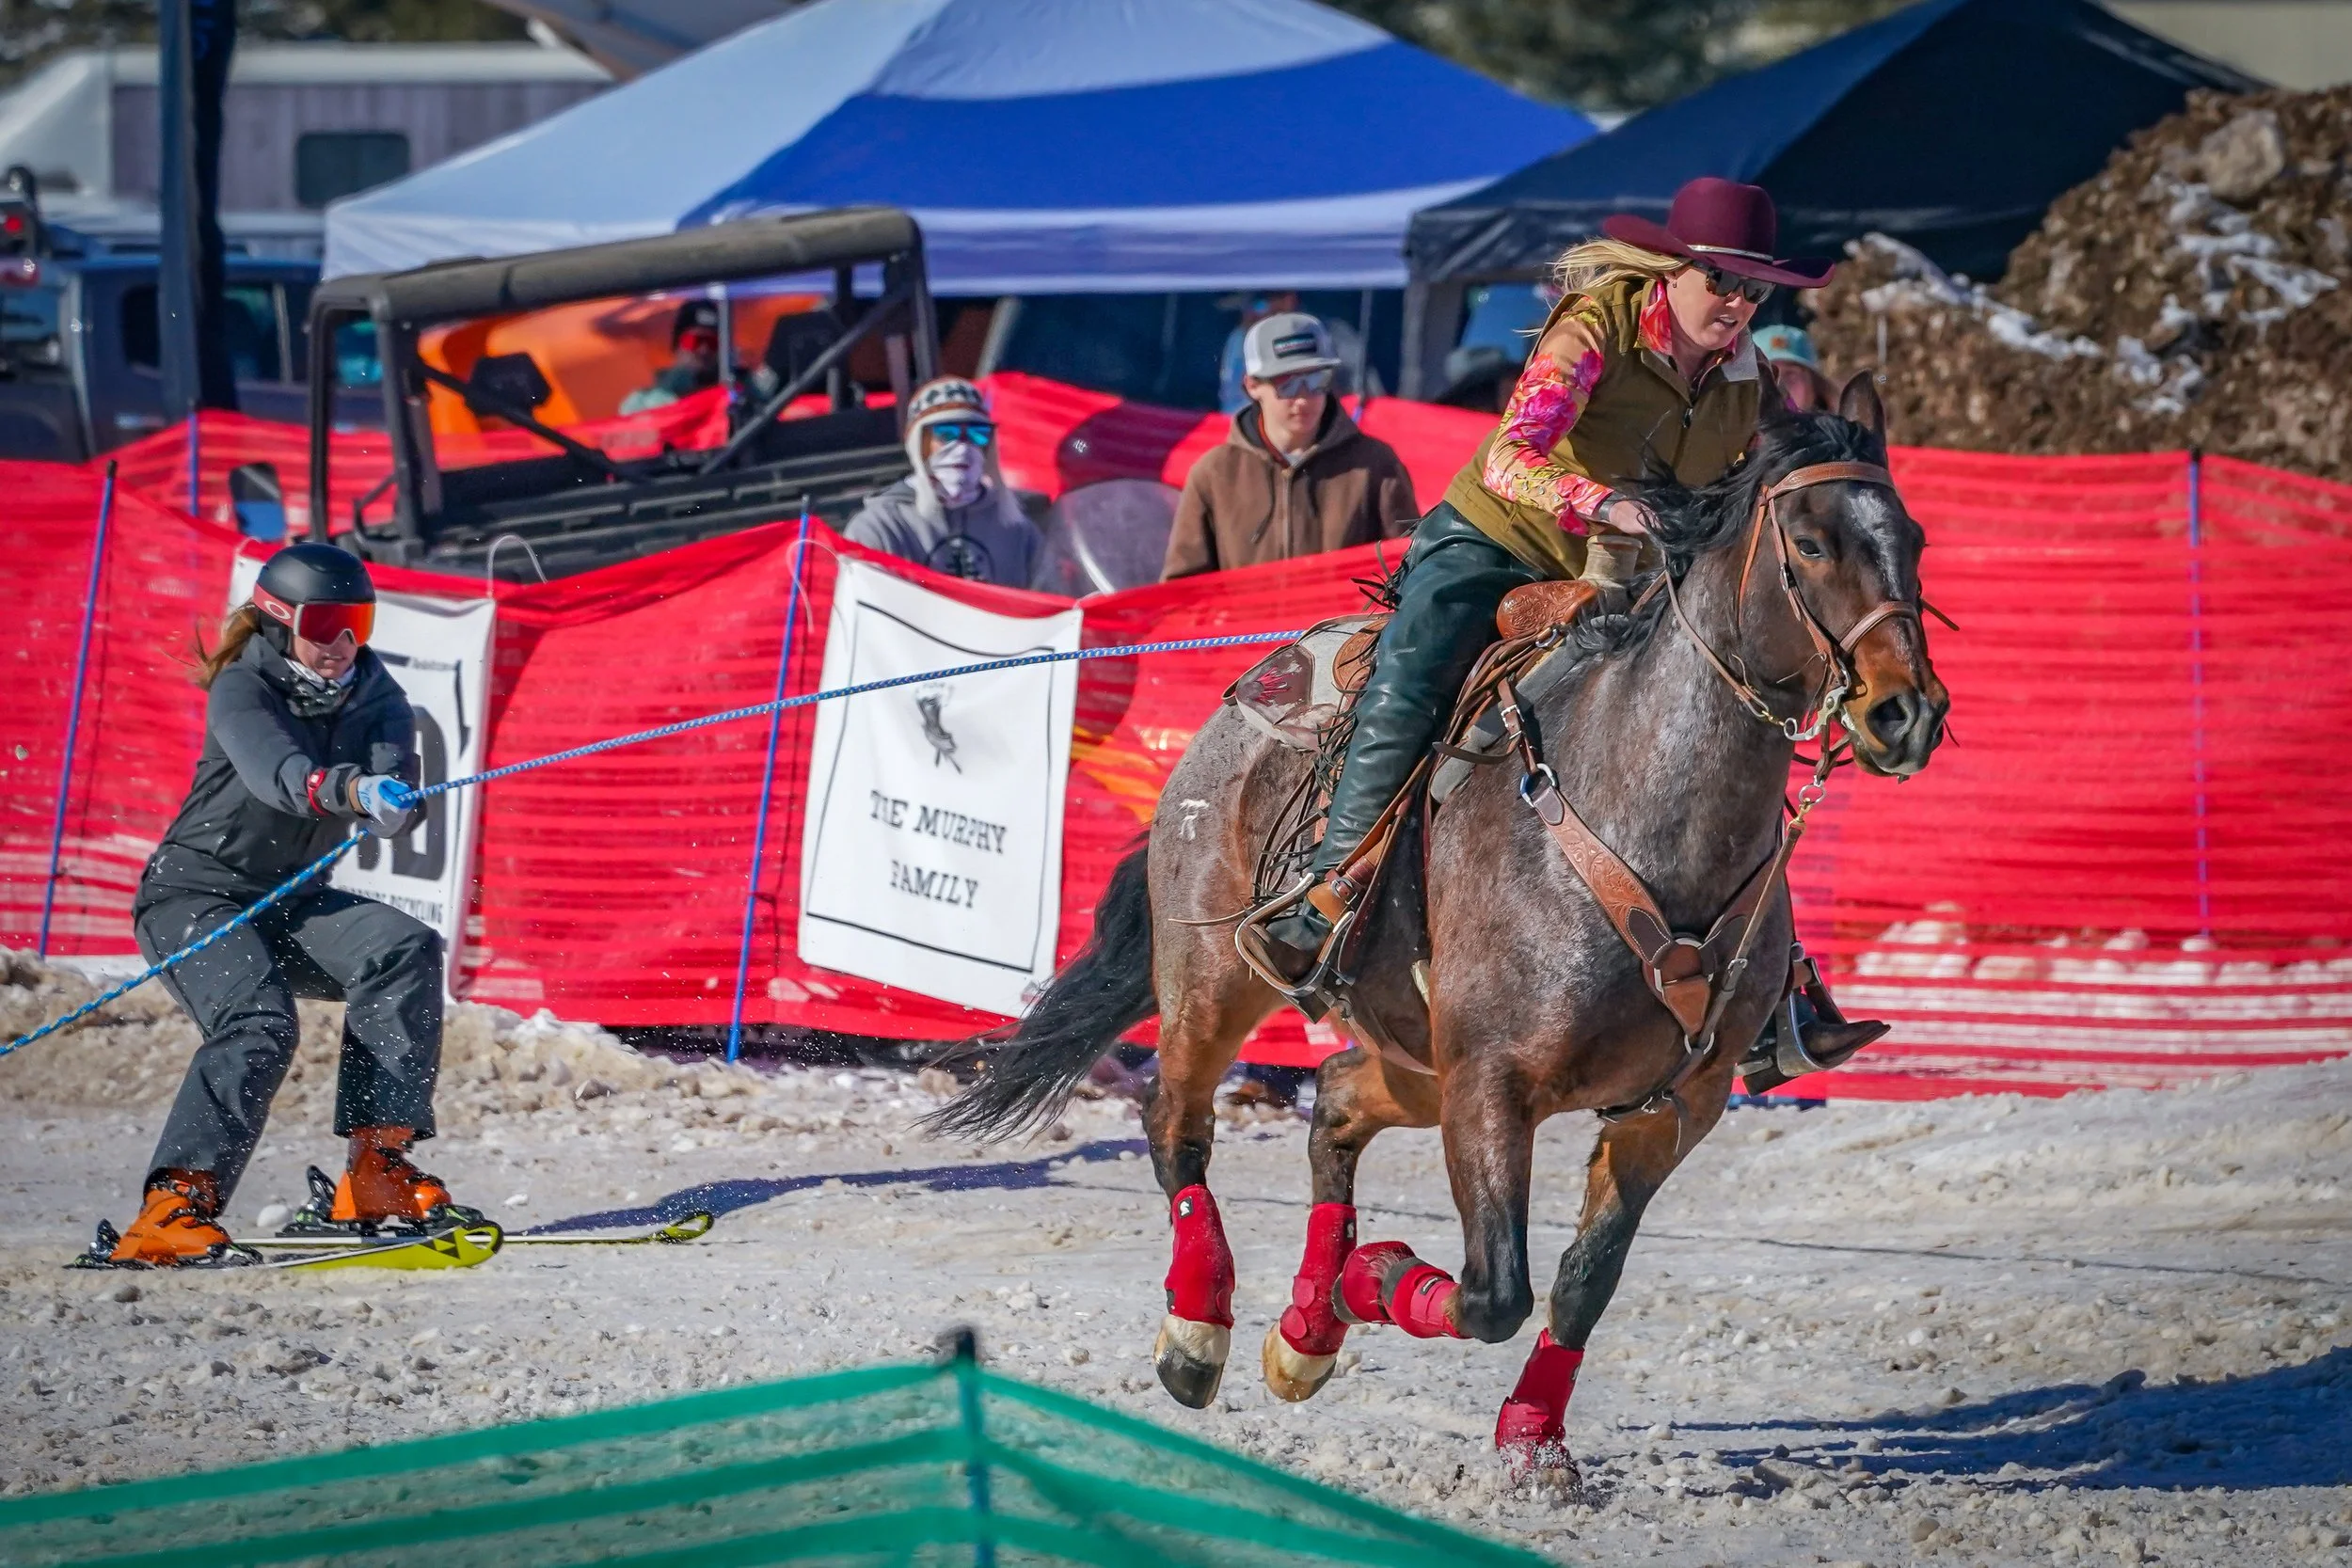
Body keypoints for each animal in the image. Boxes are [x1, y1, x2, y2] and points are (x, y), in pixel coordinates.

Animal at [928, 378, 1948, 1476]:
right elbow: (1494, 1289)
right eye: (1809, 541)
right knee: (1177, 1122)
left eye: (1913, 538)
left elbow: (1582, 1280)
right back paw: (1200, 1328)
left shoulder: (1671, 1106)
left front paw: (1531, 1436)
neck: (1644, 822)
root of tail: (1243, 699)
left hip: (1415, 1052)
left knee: (1335, 1098)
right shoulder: (1492, 1084)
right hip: (1212, 977)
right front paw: (1373, 1280)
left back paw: (1305, 1331)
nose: (1907, 713)